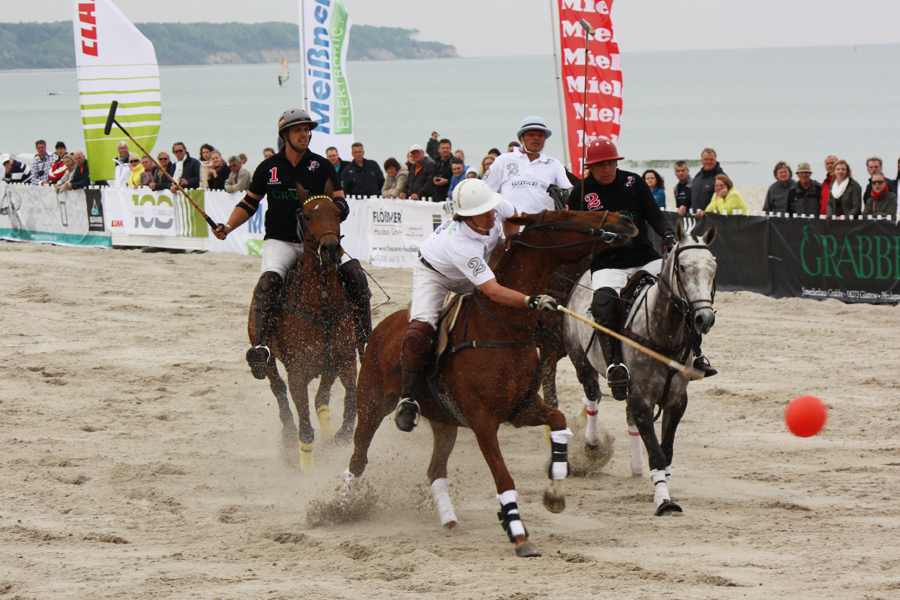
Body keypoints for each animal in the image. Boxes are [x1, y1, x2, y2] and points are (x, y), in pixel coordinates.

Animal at [253, 195, 358, 472]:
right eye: (307, 216)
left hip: (328, 366)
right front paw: (307, 466)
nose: (330, 249)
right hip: (267, 357)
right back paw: (289, 436)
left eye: (338, 213)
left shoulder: (345, 359)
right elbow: (304, 423)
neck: (321, 306)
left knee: (321, 398)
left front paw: (339, 438)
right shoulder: (297, 373)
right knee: (278, 389)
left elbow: (351, 401)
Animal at [338, 209, 640, 556]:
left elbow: (559, 422)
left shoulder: (522, 408)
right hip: (371, 404)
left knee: (435, 470)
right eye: (567, 214)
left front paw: (554, 493)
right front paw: (519, 534)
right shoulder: (483, 422)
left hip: (444, 421)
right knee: (358, 458)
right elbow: (504, 479)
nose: (625, 221)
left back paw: (449, 520)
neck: (502, 328)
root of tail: (383, 325)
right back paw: (337, 508)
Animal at [564, 220, 716, 516]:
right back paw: (592, 445)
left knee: (625, 414)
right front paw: (664, 501)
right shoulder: (643, 398)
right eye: (683, 267)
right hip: (580, 359)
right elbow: (656, 453)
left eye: (713, 267)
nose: (704, 318)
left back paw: (635, 466)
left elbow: (666, 452)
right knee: (592, 394)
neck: (663, 333)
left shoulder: (676, 400)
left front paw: (660, 488)